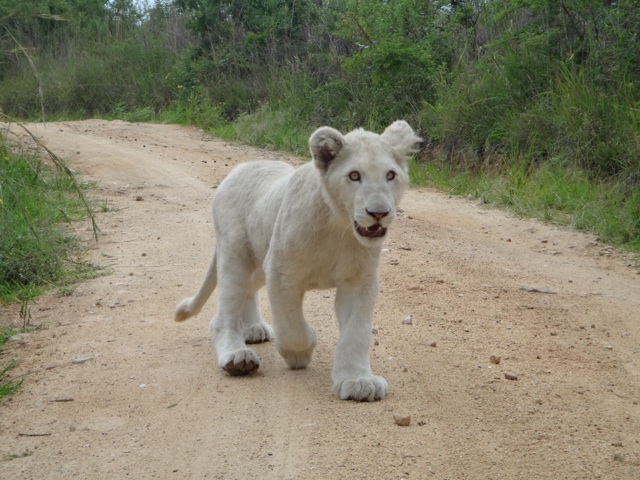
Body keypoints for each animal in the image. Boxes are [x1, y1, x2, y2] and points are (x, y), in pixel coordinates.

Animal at [174, 120, 421, 401]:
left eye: (390, 175)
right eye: (354, 176)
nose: (378, 213)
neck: (339, 226)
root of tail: (239, 169)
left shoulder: (360, 280)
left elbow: (356, 333)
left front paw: (359, 382)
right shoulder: (281, 273)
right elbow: (291, 327)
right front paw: (300, 352)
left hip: (258, 260)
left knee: (247, 290)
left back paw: (254, 329)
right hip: (235, 253)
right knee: (225, 310)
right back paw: (238, 357)